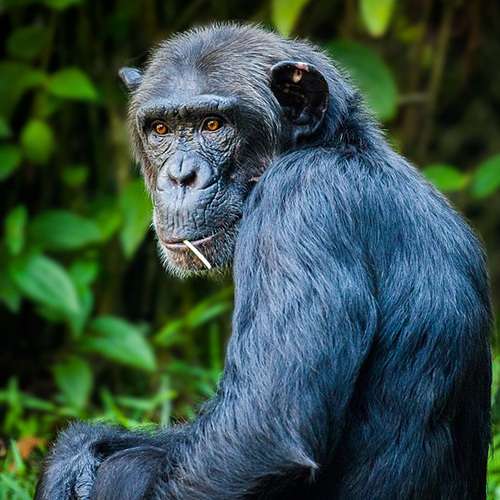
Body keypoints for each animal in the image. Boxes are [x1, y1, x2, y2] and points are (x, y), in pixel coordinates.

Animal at [35, 22, 492, 500]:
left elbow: (260, 431)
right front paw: (73, 457)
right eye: (160, 128)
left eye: (213, 124)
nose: (179, 175)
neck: (332, 147)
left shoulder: (297, 207)